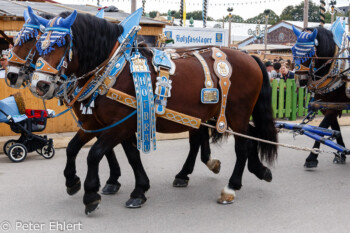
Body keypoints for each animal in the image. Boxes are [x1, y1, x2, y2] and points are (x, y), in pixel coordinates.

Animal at [30, 11, 276, 215]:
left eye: (60, 45)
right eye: (39, 47)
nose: (39, 85)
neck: (114, 69)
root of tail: (250, 58)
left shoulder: (120, 125)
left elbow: (95, 154)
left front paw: (92, 194)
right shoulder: (102, 124)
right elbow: (82, 149)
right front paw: (135, 189)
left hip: (236, 113)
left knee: (243, 144)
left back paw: (231, 187)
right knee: (242, 137)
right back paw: (254, 170)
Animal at [292, 26, 348, 168]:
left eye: (309, 54)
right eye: (293, 50)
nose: (299, 81)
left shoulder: (337, 103)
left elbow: (322, 127)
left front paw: (312, 157)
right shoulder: (325, 104)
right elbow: (334, 128)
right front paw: (342, 152)